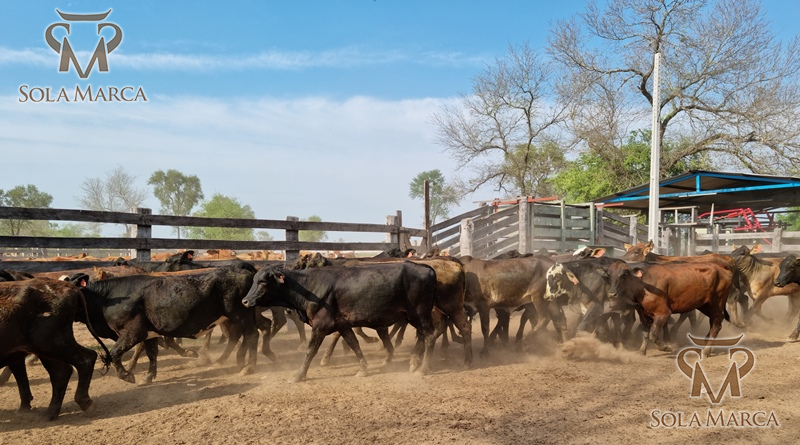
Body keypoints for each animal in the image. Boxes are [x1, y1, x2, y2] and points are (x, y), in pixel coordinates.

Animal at [0, 279, 111, 420]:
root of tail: (70, 287)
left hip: (52, 344)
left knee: (86, 359)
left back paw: (84, 403)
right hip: (47, 350)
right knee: (61, 372)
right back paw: (51, 412)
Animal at [77, 266, 261, 384]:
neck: (109, 297)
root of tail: (246, 271)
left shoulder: (133, 333)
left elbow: (114, 353)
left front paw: (127, 375)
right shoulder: (150, 333)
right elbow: (152, 354)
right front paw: (148, 376)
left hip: (239, 315)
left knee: (252, 335)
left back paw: (249, 367)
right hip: (229, 319)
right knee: (236, 336)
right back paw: (224, 361)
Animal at [242, 263, 438, 382]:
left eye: (262, 282)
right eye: (254, 280)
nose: (245, 301)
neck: (309, 287)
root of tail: (426, 268)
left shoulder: (321, 325)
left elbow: (310, 351)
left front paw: (298, 375)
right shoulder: (342, 325)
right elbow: (354, 343)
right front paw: (363, 369)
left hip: (420, 314)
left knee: (430, 336)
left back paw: (423, 368)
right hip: (413, 317)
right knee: (423, 335)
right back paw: (413, 361)